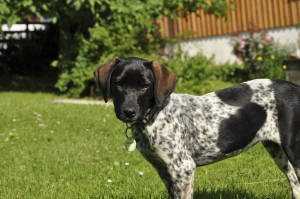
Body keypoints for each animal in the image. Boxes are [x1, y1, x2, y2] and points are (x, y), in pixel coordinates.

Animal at [94, 56, 300, 198]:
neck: (154, 116)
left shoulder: (183, 168)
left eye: (145, 86)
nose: (128, 112)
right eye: (118, 84)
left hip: (294, 149)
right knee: (295, 184)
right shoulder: (164, 170)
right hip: (277, 150)